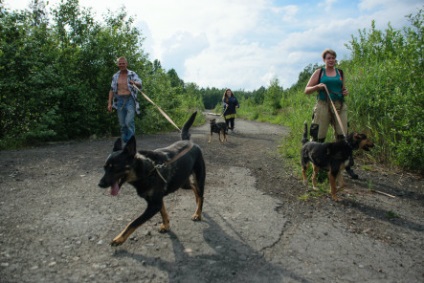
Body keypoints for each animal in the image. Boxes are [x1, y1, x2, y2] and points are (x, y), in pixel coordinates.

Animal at [99, 111, 205, 246]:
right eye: (105, 168)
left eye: (115, 168)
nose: (100, 184)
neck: (145, 170)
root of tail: (189, 141)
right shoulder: (157, 201)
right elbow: (163, 212)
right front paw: (166, 225)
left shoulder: (154, 204)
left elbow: (133, 222)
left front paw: (119, 238)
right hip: (182, 182)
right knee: (194, 189)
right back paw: (196, 204)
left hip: (199, 179)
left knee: (200, 194)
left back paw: (198, 213)